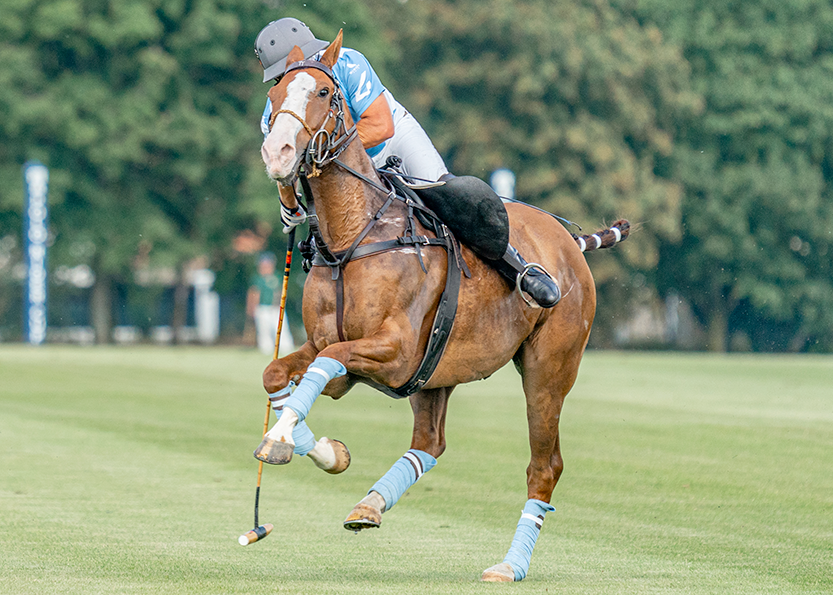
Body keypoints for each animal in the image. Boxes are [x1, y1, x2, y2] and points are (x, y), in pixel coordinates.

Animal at [256, 32, 628, 584]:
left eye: (324, 91)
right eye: (274, 96)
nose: (277, 152)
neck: (352, 237)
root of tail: (570, 242)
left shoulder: (394, 350)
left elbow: (326, 363)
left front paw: (280, 438)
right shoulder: (341, 351)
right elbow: (279, 374)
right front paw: (324, 451)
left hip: (550, 368)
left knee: (545, 466)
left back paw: (509, 565)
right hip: (435, 375)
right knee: (429, 443)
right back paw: (369, 506)